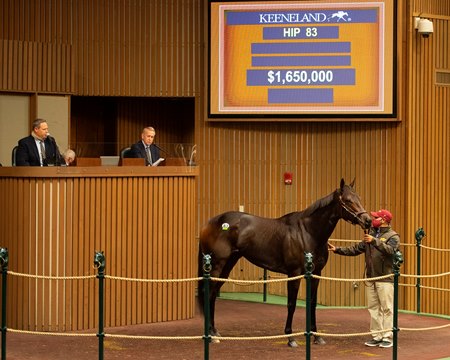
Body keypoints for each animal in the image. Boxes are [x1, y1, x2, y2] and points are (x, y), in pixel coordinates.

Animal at [199, 179, 370, 348]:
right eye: (347, 200)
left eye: (359, 198)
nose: (368, 220)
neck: (308, 233)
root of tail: (212, 222)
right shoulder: (294, 273)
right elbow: (291, 304)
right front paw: (290, 337)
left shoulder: (316, 274)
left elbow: (312, 303)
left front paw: (316, 336)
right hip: (217, 265)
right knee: (209, 293)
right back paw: (211, 335)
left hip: (228, 265)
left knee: (213, 295)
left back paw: (215, 332)